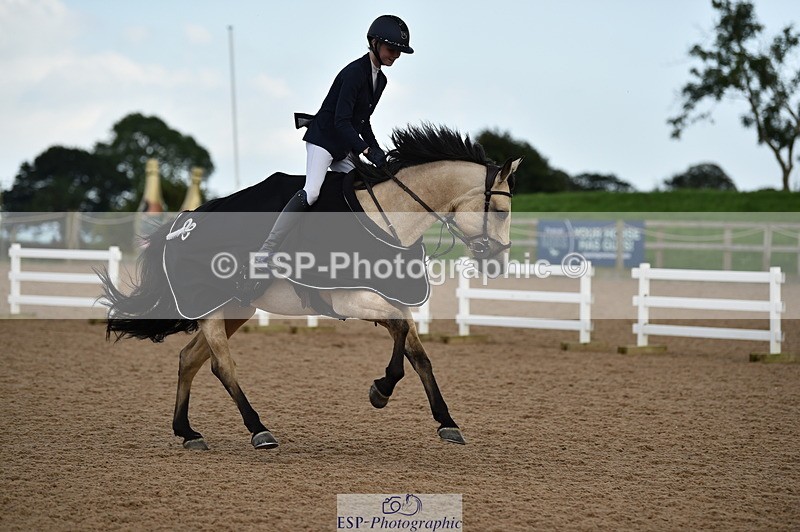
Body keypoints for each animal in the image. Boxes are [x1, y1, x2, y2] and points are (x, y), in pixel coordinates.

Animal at [100, 124, 521, 451]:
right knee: (222, 365)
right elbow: (401, 335)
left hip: (236, 307)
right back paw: (259, 430)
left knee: (189, 358)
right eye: (501, 213)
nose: (498, 263)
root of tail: (181, 223)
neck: (388, 219)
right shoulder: (353, 298)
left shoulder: (390, 299)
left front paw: (446, 421)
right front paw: (381, 390)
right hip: (210, 307)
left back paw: (188, 432)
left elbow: (419, 355)